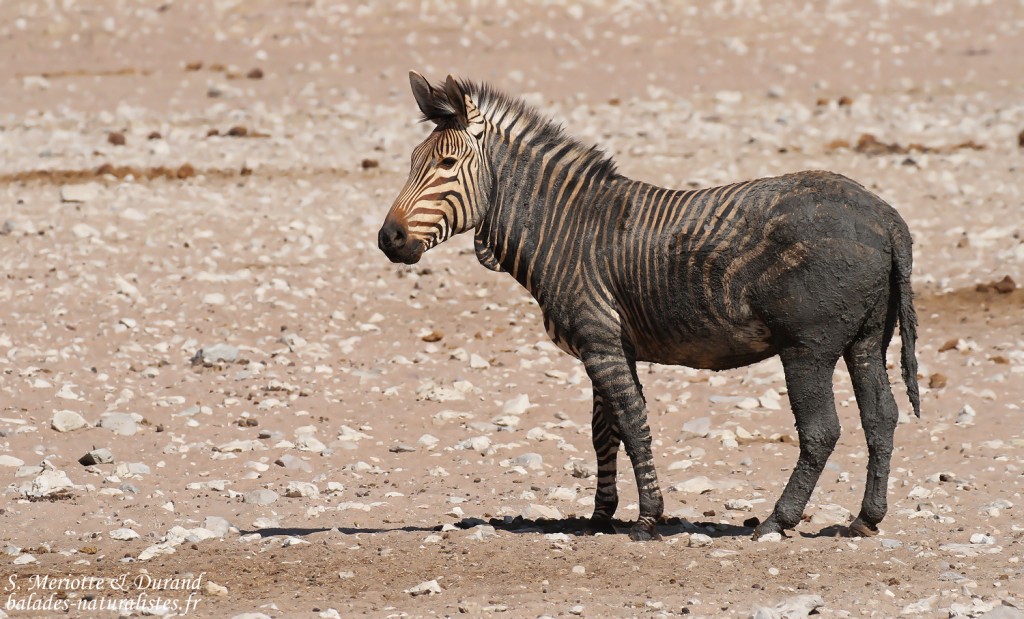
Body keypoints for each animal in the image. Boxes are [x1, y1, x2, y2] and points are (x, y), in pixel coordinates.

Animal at [379, 72, 920, 541]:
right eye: (412, 161)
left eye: (446, 166)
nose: (388, 239)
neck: (562, 228)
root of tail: (885, 214)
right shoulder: (608, 344)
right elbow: (604, 432)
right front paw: (599, 517)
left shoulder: (599, 340)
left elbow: (633, 424)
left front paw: (648, 518)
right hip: (866, 339)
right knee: (882, 417)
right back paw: (865, 519)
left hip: (807, 347)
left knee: (821, 430)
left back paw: (777, 520)